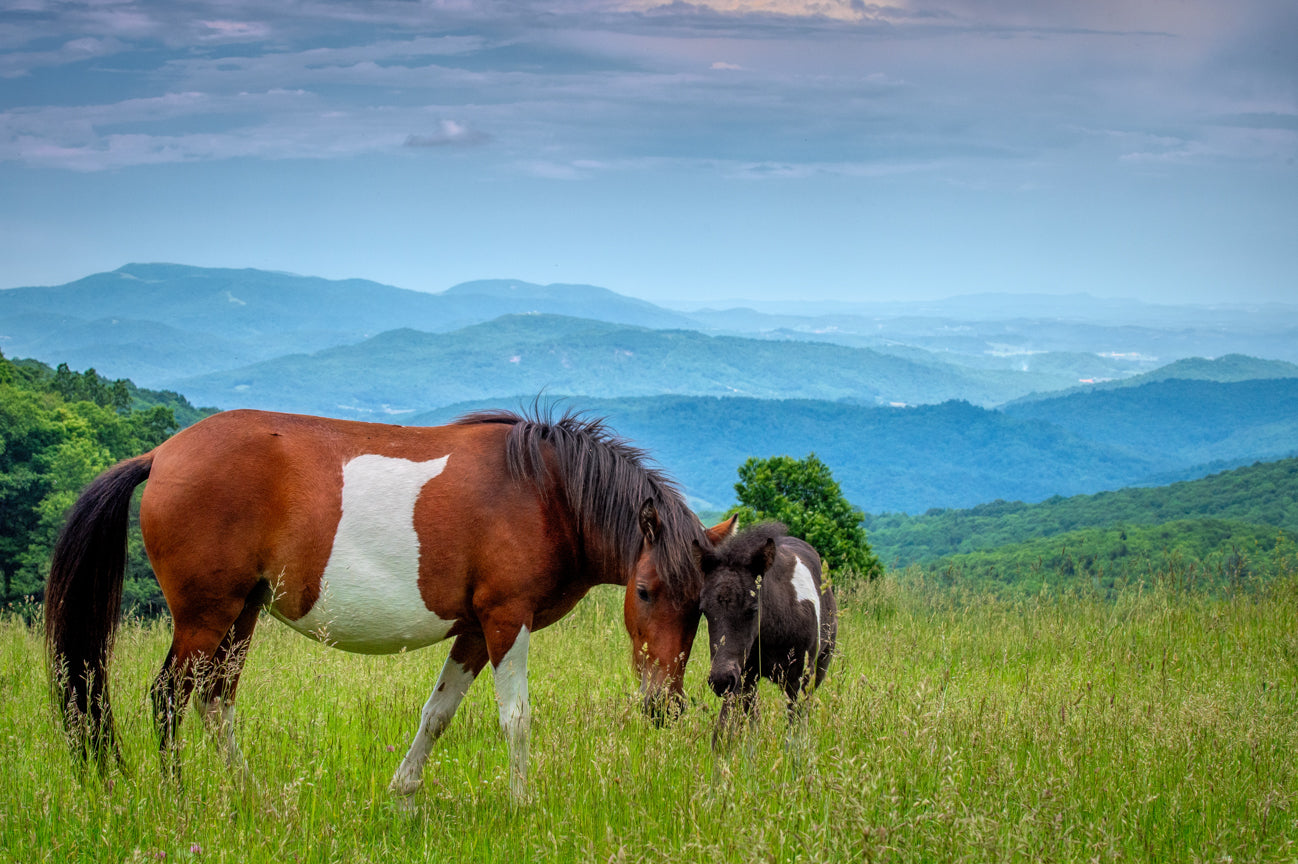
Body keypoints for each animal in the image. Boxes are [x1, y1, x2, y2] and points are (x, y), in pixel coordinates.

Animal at [43, 407, 732, 799]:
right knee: (168, 697)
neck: (546, 489)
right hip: (204, 616)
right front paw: (522, 804)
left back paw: (246, 795)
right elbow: (516, 719)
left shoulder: (474, 631)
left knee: (216, 700)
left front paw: (405, 793)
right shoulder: (506, 621)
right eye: (644, 592)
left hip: (241, 614)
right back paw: (177, 798)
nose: (666, 707)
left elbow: (437, 714)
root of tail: (162, 454)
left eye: (699, 606)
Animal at [695, 521, 835, 736]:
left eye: (753, 609)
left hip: (821, 664)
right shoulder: (744, 678)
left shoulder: (801, 679)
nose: (721, 681)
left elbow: (795, 732)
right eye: (704, 611)